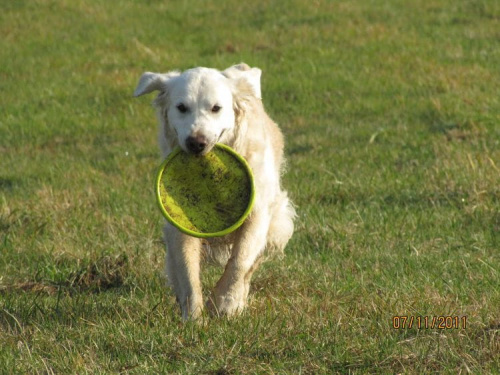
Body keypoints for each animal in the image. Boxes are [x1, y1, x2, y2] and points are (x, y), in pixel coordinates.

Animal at [135, 64, 294, 320]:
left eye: (216, 108)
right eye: (181, 107)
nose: (196, 143)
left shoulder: (258, 214)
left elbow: (240, 260)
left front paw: (225, 302)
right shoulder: (178, 224)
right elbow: (186, 268)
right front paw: (194, 316)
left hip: (277, 223)